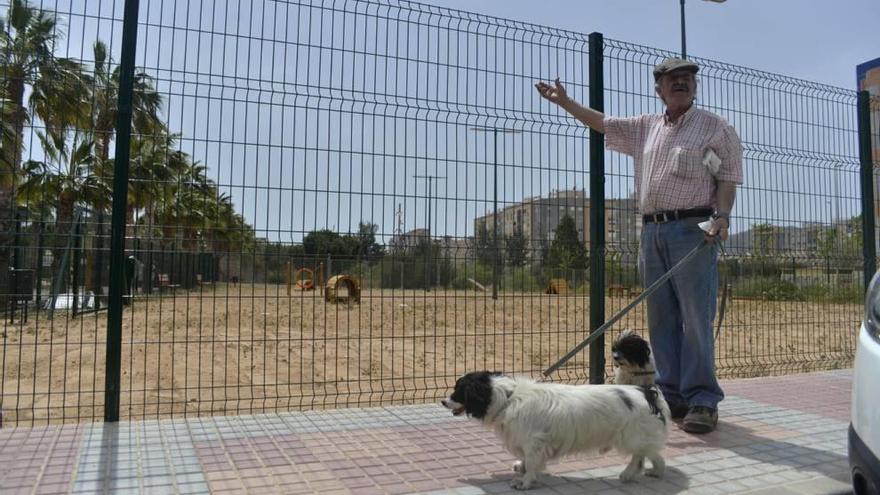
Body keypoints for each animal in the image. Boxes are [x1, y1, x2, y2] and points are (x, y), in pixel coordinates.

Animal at [440, 370, 668, 490]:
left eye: (458, 390)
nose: (442, 401)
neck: (509, 397)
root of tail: (647, 392)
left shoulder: (534, 442)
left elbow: (532, 463)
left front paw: (525, 482)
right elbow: (526, 460)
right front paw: (521, 468)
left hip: (631, 436)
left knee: (639, 456)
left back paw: (630, 473)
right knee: (653, 454)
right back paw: (655, 472)